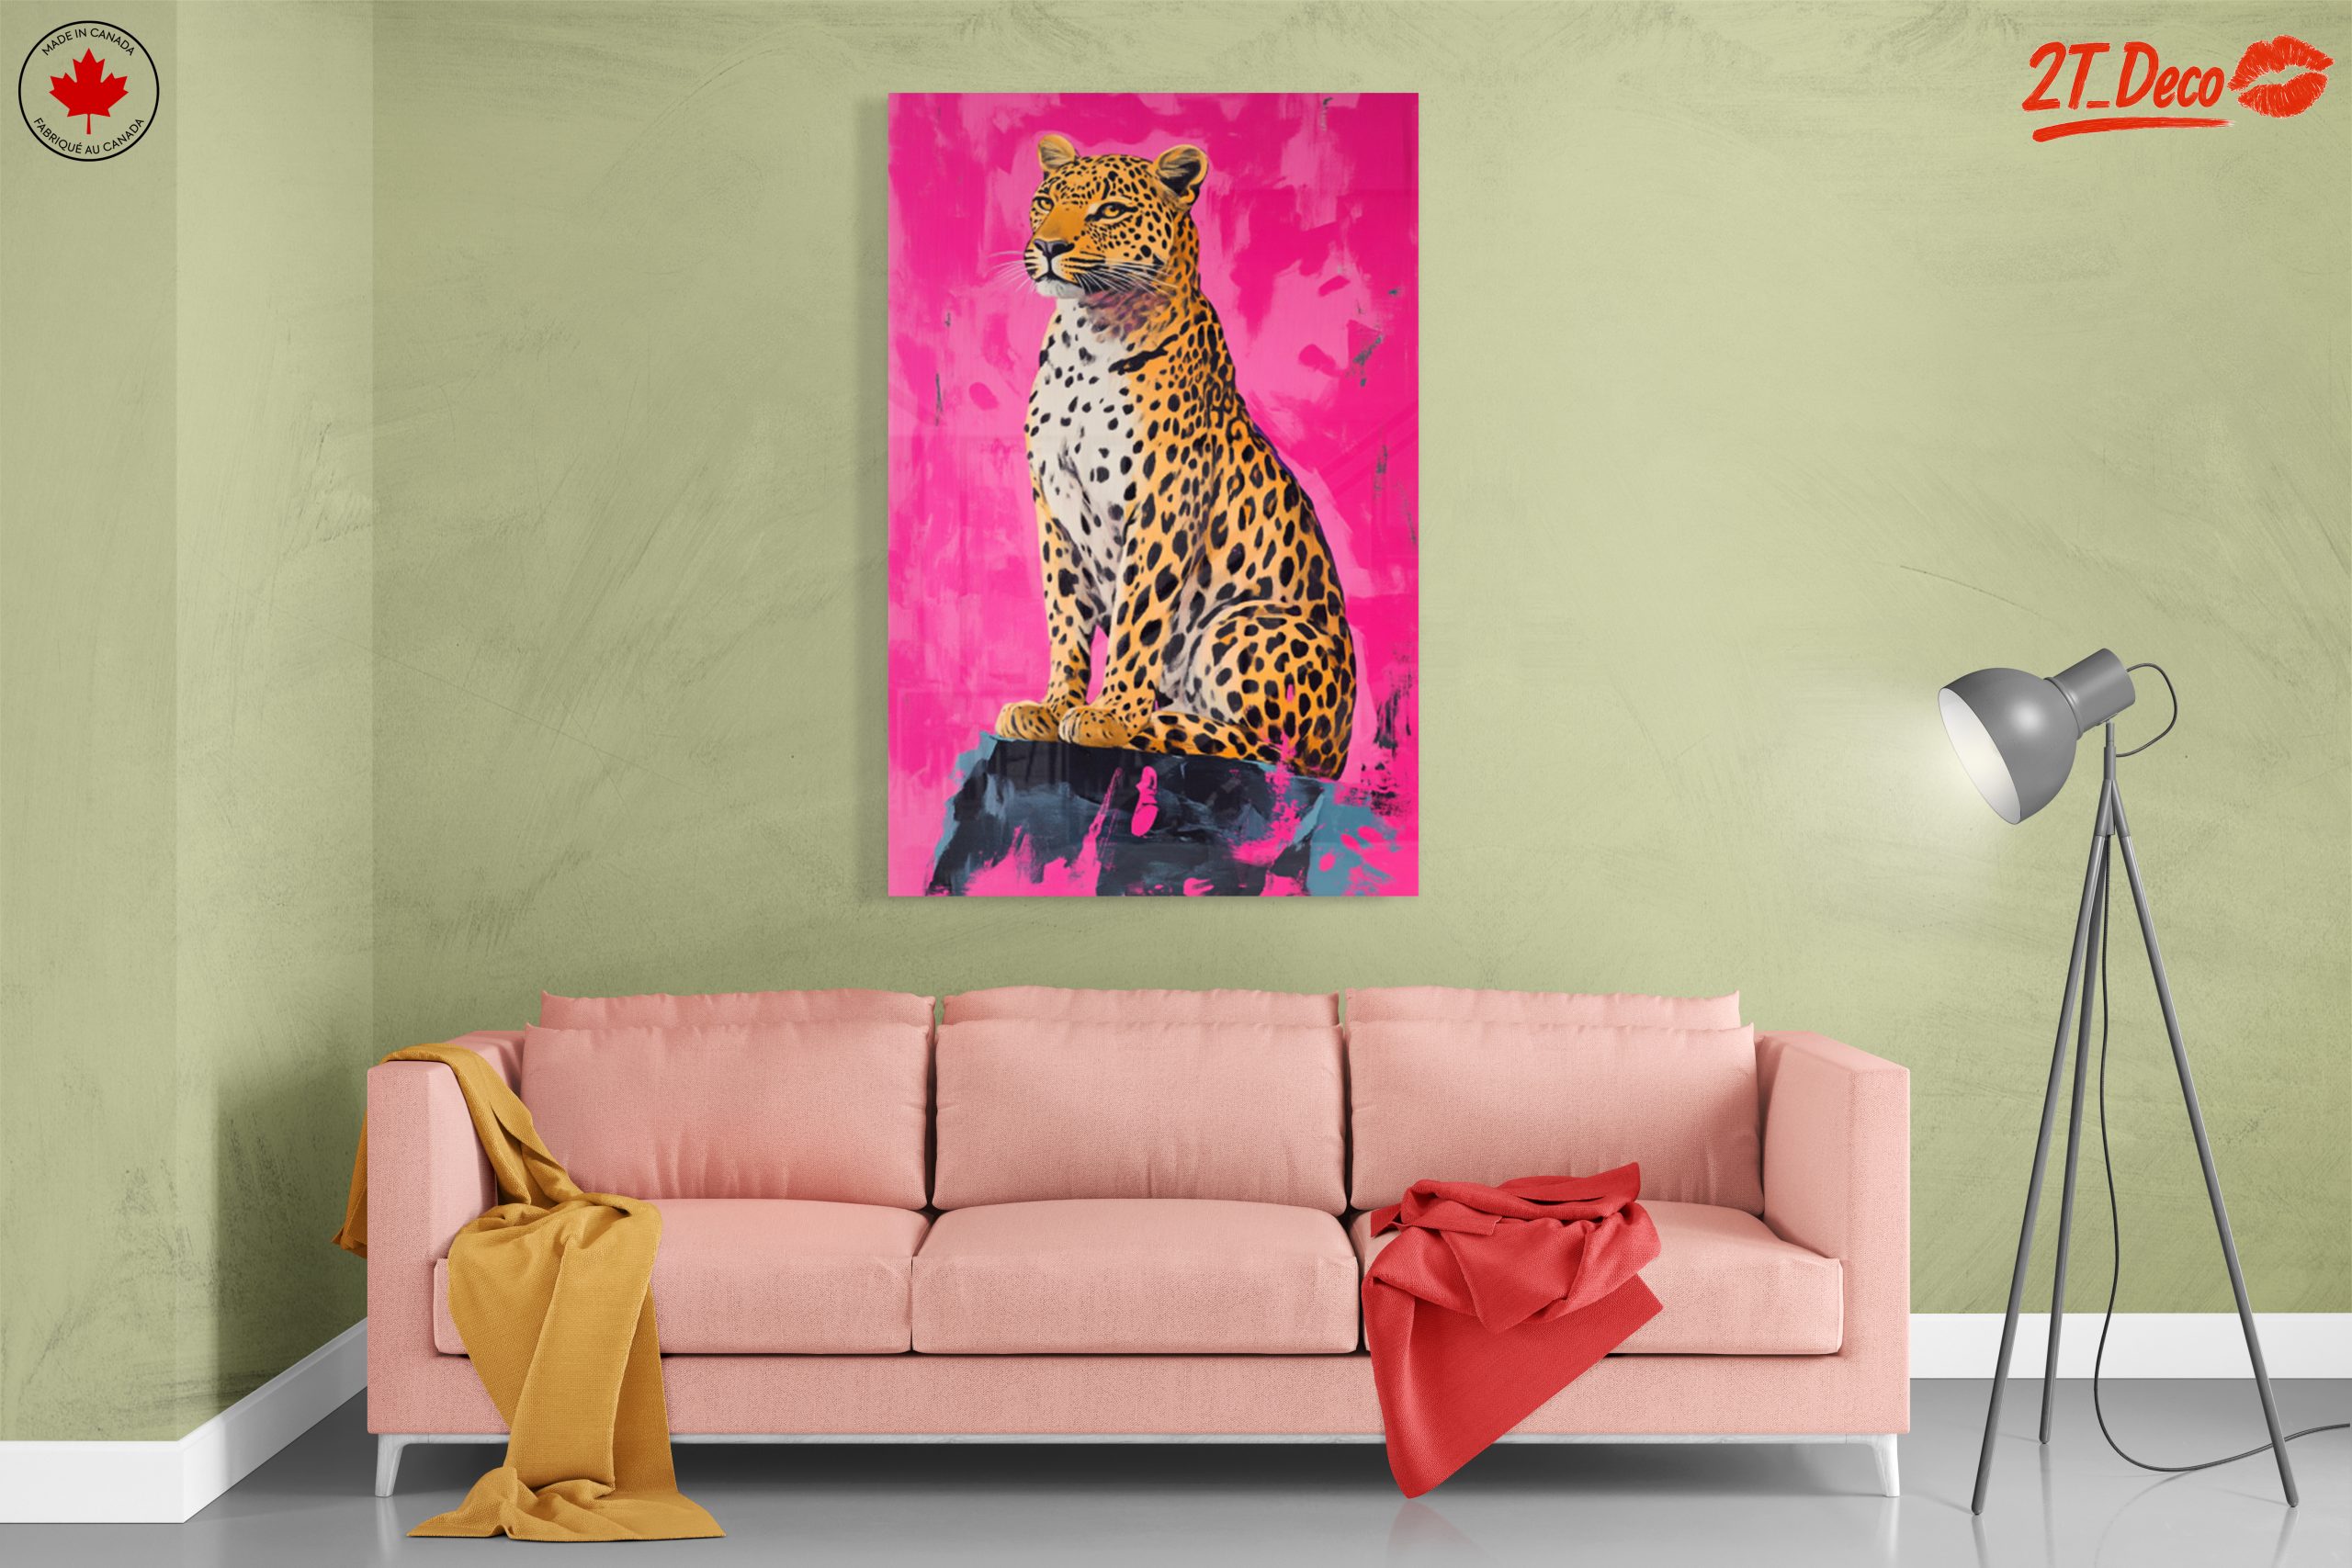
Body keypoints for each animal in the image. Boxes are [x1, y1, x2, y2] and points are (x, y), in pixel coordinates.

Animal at [993, 133, 1357, 781]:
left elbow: (1138, 615)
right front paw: (1053, 706)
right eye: (1045, 202)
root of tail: (1340, 749)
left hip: (1243, 624)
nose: (1050, 247)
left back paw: (1151, 724)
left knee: (1269, 751)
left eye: (1110, 210)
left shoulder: (1163, 502)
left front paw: (1109, 715)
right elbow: (1063, 615)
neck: (1089, 339)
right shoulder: (1053, 508)